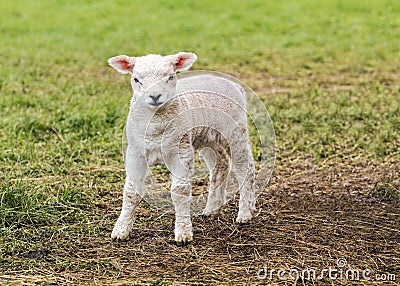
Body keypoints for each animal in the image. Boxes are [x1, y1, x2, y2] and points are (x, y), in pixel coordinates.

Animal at [108, 52, 255, 246]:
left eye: (171, 77)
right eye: (136, 79)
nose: (155, 96)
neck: (156, 126)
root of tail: (236, 85)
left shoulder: (181, 151)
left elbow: (180, 192)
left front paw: (183, 233)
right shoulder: (135, 152)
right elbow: (131, 192)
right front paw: (121, 231)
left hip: (236, 130)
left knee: (246, 166)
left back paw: (245, 213)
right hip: (209, 137)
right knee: (221, 165)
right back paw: (212, 208)